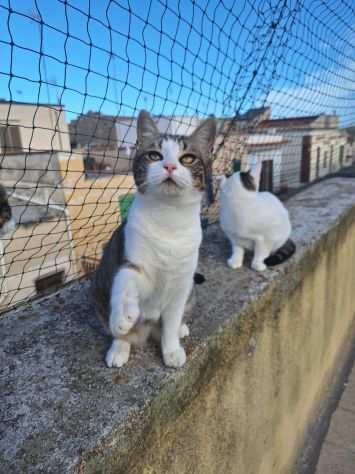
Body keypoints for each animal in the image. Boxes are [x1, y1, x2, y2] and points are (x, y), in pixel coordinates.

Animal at [94, 112, 217, 370]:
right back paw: (119, 346)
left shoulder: (181, 283)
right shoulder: (130, 256)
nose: (169, 166)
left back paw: (179, 329)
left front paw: (171, 350)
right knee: (119, 333)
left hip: (190, 294)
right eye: (154, 155)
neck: (168, 217)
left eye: (188, 158)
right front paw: (124, 312)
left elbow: (171, 322)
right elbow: (125, 279)